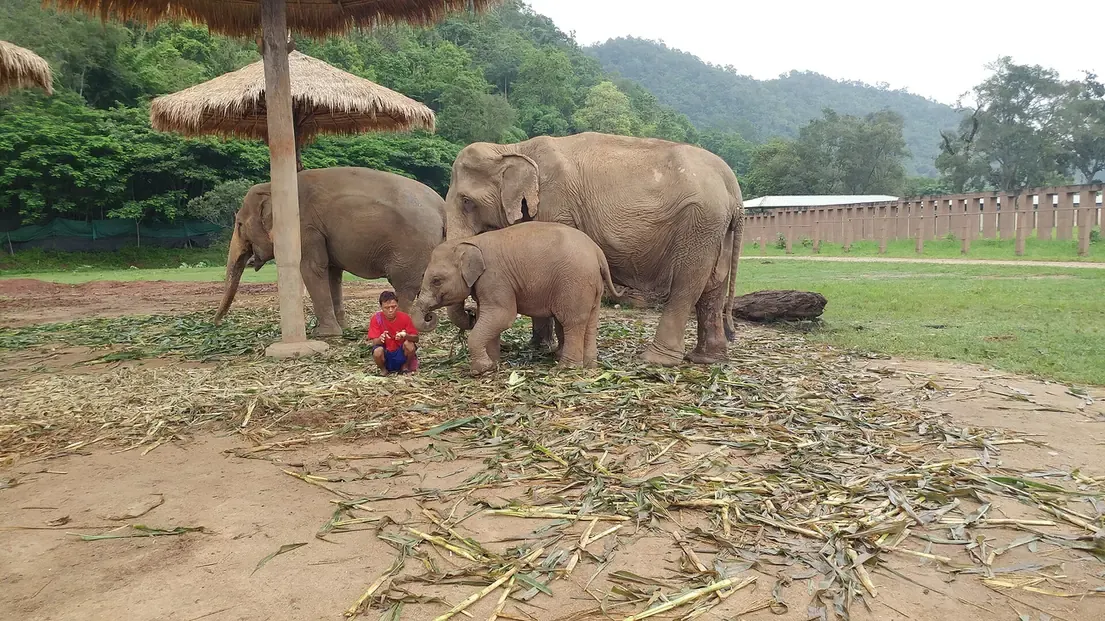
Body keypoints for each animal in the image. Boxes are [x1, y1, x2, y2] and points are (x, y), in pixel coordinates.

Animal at [213, 166, 446, 336]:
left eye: (239, 224)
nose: (215, 324)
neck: (272, 186)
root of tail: (442, 206)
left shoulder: (305, 228)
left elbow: (312, 269)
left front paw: (323, 334)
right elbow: (333, 274)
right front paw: (343, 328)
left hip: (411, 249)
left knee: (404, 287)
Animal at [412, 221, 624, 374]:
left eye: (436, 280)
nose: (469, 311)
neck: (472, 241)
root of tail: (598, 252)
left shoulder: (495, 278)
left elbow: (503, 316)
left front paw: (479, 370)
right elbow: (488, 317)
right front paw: (493, 364)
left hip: (575, 283)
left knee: (572, 322)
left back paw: (566, 368)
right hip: (592, 286)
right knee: (590, 321)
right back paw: (589, 365)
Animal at [438, 131, 745, 367]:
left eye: (467, 201)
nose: (471, 314)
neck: (513, 148)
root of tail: (733, 185)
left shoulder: (556, 206)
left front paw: (555, 353)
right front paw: (540, 347)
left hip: (699, 224)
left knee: (687, 285)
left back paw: (655, 360)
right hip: (716, 229)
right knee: (713, 287)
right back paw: (706, 359)